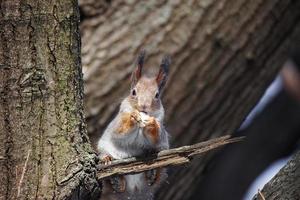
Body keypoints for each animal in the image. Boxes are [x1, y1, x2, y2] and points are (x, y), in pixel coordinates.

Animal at [97, 50, 170, 199]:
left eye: (157, 95)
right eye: (134, 92)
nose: (143, 106)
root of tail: (134, 191)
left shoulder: (162, 133)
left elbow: (157, 135)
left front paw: (151, 123)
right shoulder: (117, 123)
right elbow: (119, 131)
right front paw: (133, 117)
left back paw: (152, 173)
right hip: (103, 148)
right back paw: (113, 175)